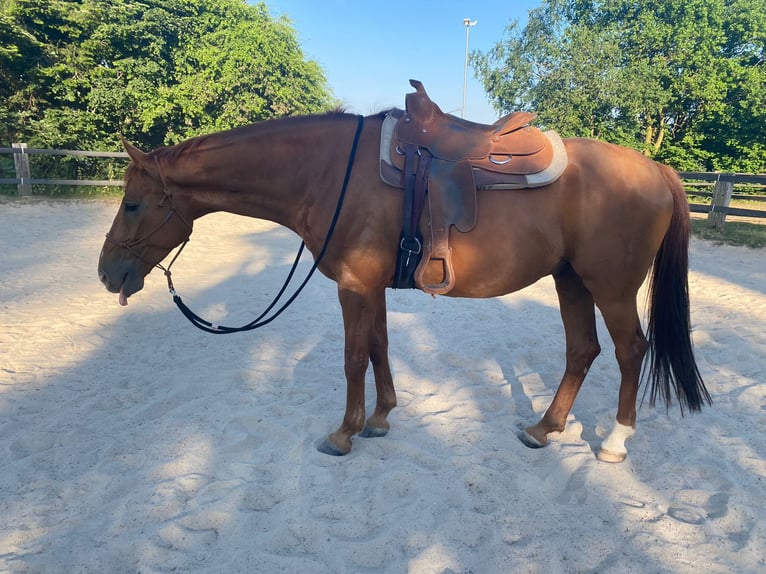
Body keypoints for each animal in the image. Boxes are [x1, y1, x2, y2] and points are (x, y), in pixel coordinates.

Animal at [99, 111, 712, 464]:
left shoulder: (354, 285)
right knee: (582, 351)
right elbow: (378, 347)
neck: (327, 172)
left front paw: (344, 433)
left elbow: (353, 358)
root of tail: (656, 168)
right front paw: (380, 418)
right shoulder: (372, 286)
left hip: (611, 287)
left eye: (132, 204)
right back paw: (544, 429)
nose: (107, 273)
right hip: (571, 281)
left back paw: (614, 442)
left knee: (631, 351)